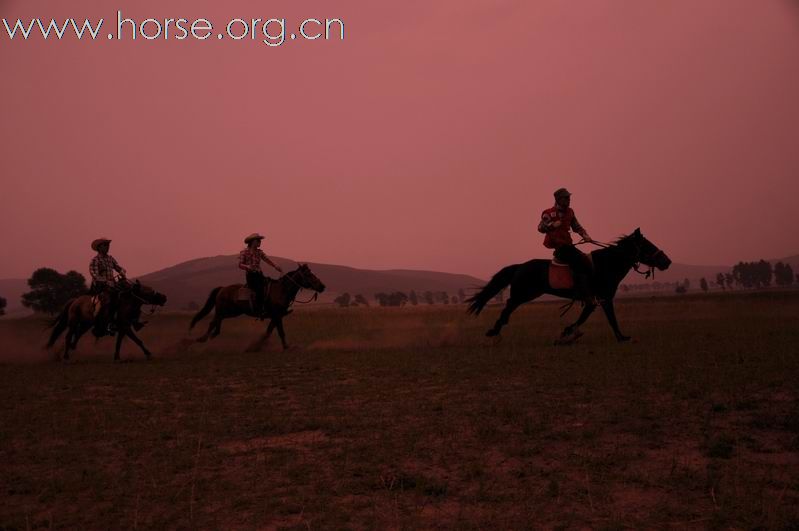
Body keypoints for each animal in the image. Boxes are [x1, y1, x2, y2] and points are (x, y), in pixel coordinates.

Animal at [190, 264, 324, 352]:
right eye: (308, 274)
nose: (322, 286)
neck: (282, 290)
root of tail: (222, 289)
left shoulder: (276, 316)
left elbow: (269, 331)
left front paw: (257, 346)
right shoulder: (277, 316)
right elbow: (281, 332)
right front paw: (286, 347)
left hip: (232, 312)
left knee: (217, 321)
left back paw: (211, 335)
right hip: (225, 310)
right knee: (214, 322)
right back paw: (203, 338)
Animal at [466, 231, 672, 342]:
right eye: (647, 245)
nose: (667, 261)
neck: (606, 265)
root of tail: (520, 266)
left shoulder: (599, 299)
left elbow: (598, 317)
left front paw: (621, 337)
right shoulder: (602, 298)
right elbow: (603, 318)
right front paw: (568, 333)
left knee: (509, 306)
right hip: (524, 293)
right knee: (508, 306)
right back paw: (494, 330)